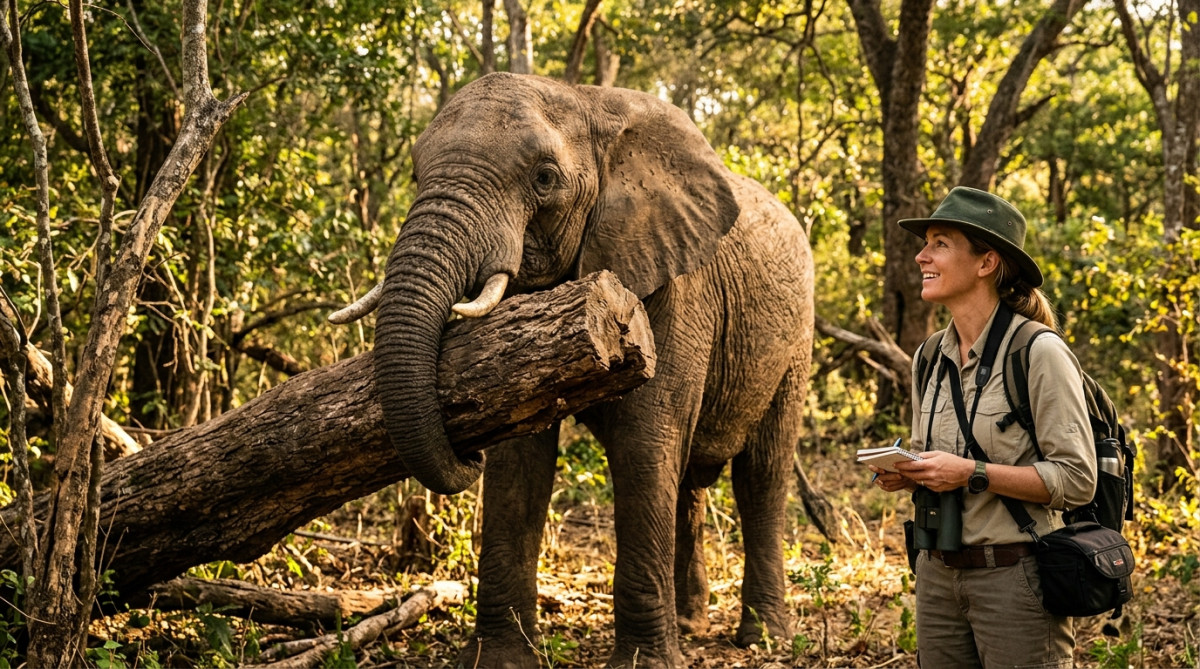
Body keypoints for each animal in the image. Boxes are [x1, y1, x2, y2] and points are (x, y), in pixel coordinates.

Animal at [330, 72, 814, 668]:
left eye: (544, 179)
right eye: (417, 174)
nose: (465, 454)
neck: (588, 100)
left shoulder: (679, 284)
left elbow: (644, 443)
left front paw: (644, 665)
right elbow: (519, 461)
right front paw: (499, 660)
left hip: (795, 342)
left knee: (762, 474)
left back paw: (765, 638)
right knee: (690, 481)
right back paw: (690, 623)